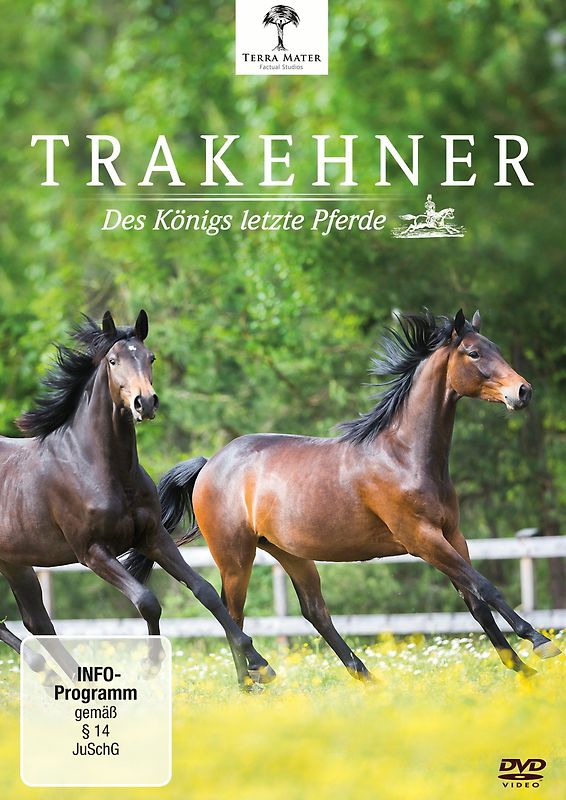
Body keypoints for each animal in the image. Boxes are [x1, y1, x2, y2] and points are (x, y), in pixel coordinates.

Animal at [0, 310, 273, 688]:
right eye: (113, 360)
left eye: (150, 357)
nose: (145, 402)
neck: (99, 468)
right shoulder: (92, 552)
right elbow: (147, 600)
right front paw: (151, 665)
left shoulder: (152, 536)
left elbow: (204, 590)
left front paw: (259, 663)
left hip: (16, 563)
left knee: (37, 621)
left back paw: (70, 678)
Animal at [124, 309, 561, 682]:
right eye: (474, 352)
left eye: (496, 348)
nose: (523, 391)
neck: (403, 455)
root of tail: (209, 464)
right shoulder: (422, 539)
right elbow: (486, 587)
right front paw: (539, 643)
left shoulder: (452, 536)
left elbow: (476, 601)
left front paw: (522, 670)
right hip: (235, 556)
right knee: (231, 612)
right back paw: (252, 684)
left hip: (291, 553)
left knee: (314, 612)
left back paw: (366, 678)